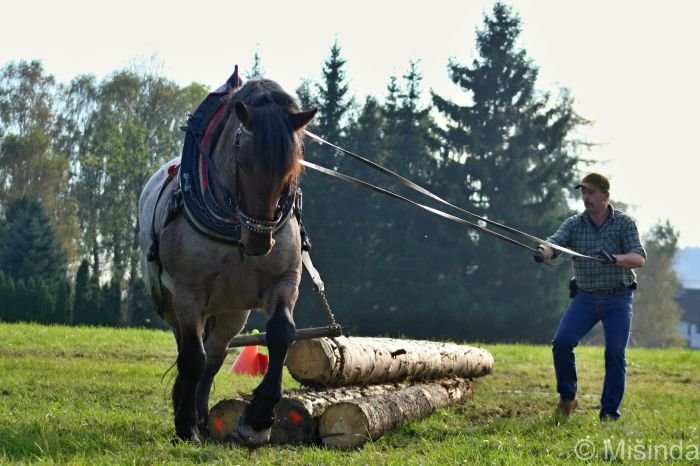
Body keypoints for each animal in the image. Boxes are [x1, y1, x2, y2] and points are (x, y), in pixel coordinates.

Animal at [139, 78, 318, 446]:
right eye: (244, 162)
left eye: (290, 168)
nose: (260, 241)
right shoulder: (188, 293)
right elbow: (191, 358)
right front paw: (186, 425)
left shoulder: (284, 281)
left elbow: (281, 334)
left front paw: (258, 418)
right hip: (175, 305)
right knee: (191, 352)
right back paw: (188, 413)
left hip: (231, 311)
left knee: (215, 356)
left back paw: (203, 416)